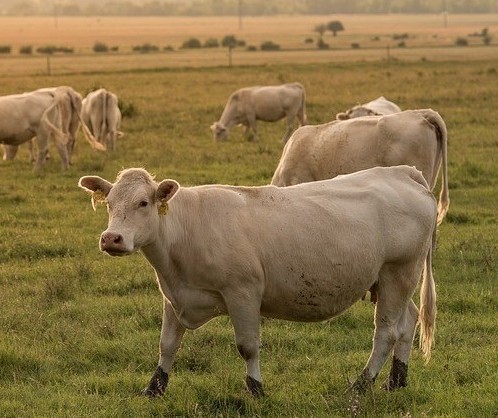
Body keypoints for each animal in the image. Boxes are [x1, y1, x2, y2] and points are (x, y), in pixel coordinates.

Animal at [78, 165, 436, 396]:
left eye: (143, 202)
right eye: (109, 204)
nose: (111, 238)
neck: (186, 229)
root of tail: (402, 172)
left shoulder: (243, 293)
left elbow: (247, 347)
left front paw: (256, 389)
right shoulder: (174, 296)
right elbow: (167, 345)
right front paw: (154, 387)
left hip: (398, 273)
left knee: (386, 332)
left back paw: (361, 385)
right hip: (393, 281)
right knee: (408, 322)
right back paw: (396, 381)